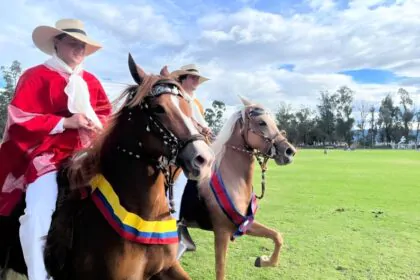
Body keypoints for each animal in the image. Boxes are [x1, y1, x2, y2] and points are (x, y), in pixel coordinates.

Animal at [177, 97, 296, 280]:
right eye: (261, 122)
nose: (289, 152)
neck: (232, 179)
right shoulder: (222, 232)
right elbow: (220, 270)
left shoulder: (244, 223)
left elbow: (277, 236)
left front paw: (264, 261)